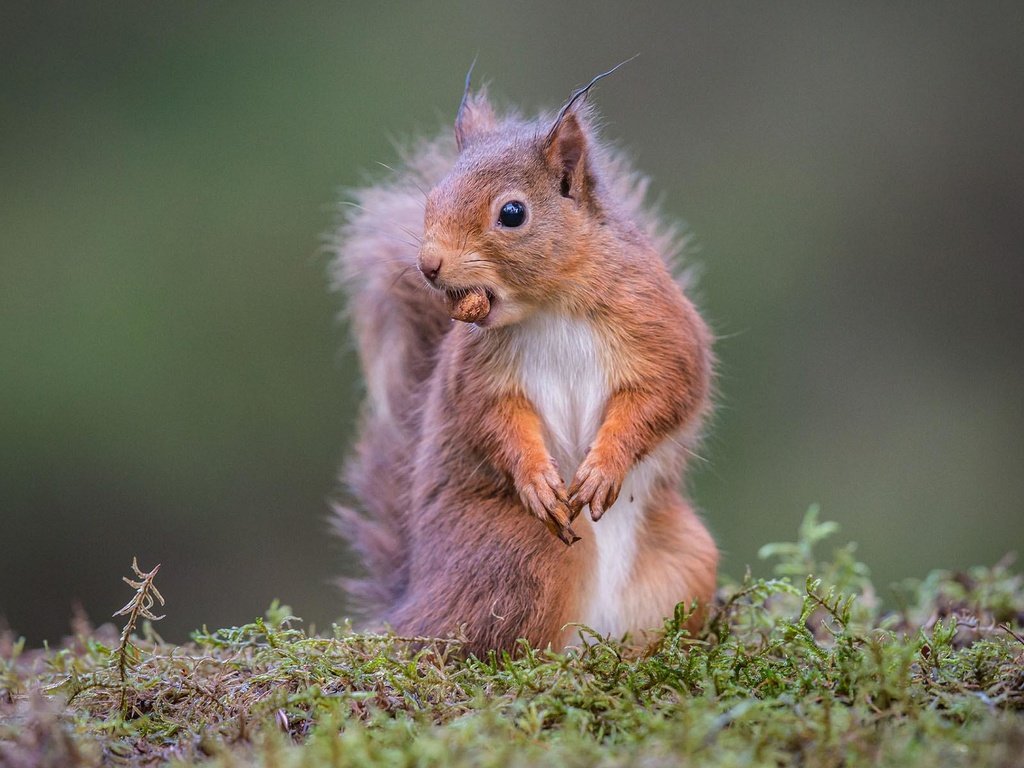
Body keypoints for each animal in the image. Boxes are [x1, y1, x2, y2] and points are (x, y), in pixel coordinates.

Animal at [331, 67, 716, 655]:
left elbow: (664, 393)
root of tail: (412, 600)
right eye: (432, 198)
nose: (428, 264)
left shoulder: (659, 328)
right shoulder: (477, 372)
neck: (551, 305)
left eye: (512, 213)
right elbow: (492, 419)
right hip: (523, 553)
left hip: (686, 560)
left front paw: (603, 469)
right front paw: (536, 480)